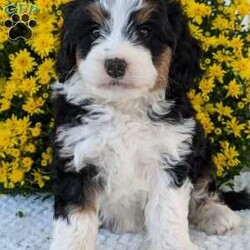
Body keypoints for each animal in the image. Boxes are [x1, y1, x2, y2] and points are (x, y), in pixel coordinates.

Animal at [49, 0, 249, 250]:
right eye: (94, 32)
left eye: (145, 32)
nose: (115, 65)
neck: (123, 108)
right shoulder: (76, 157)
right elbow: (76, 220)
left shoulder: (170, 157)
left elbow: (168, 212)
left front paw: (175, 244)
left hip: (201, 150)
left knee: (203, 188)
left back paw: (217, 214)